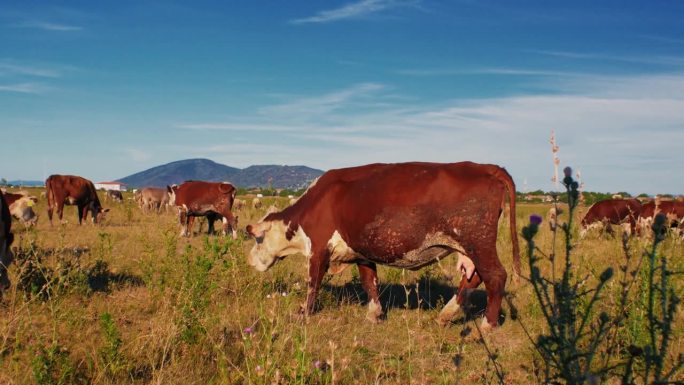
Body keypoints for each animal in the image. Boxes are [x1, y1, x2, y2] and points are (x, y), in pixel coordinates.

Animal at [246, 160, 520, 328]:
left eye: (258, 238)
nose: (249, 260)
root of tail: (484, 166)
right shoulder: (361, 253)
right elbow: (370, 282)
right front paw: (374, 314)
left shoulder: (318, 249)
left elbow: (313, 283)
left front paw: (304, 312)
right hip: (471, 248)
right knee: (474, 277)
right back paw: (446, 315)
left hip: (478, 243)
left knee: (496, 276)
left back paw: (487, 324)